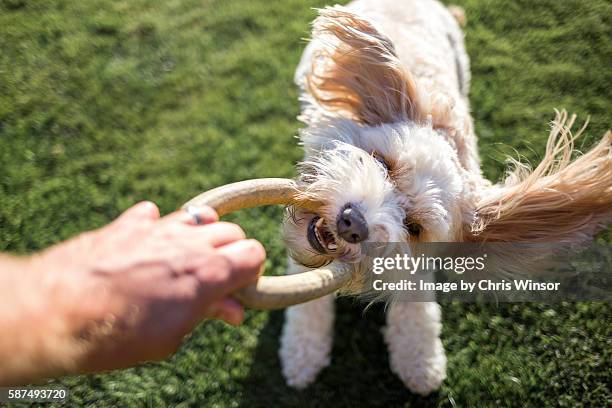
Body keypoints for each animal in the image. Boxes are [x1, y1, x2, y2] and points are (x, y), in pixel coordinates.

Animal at [278, 0, 612, 396]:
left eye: (414, 227)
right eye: (383, 163)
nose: (352, 223)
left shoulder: (415, 265)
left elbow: (416, 310)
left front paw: (420, 362)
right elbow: (306, 302)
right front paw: (302, 354)